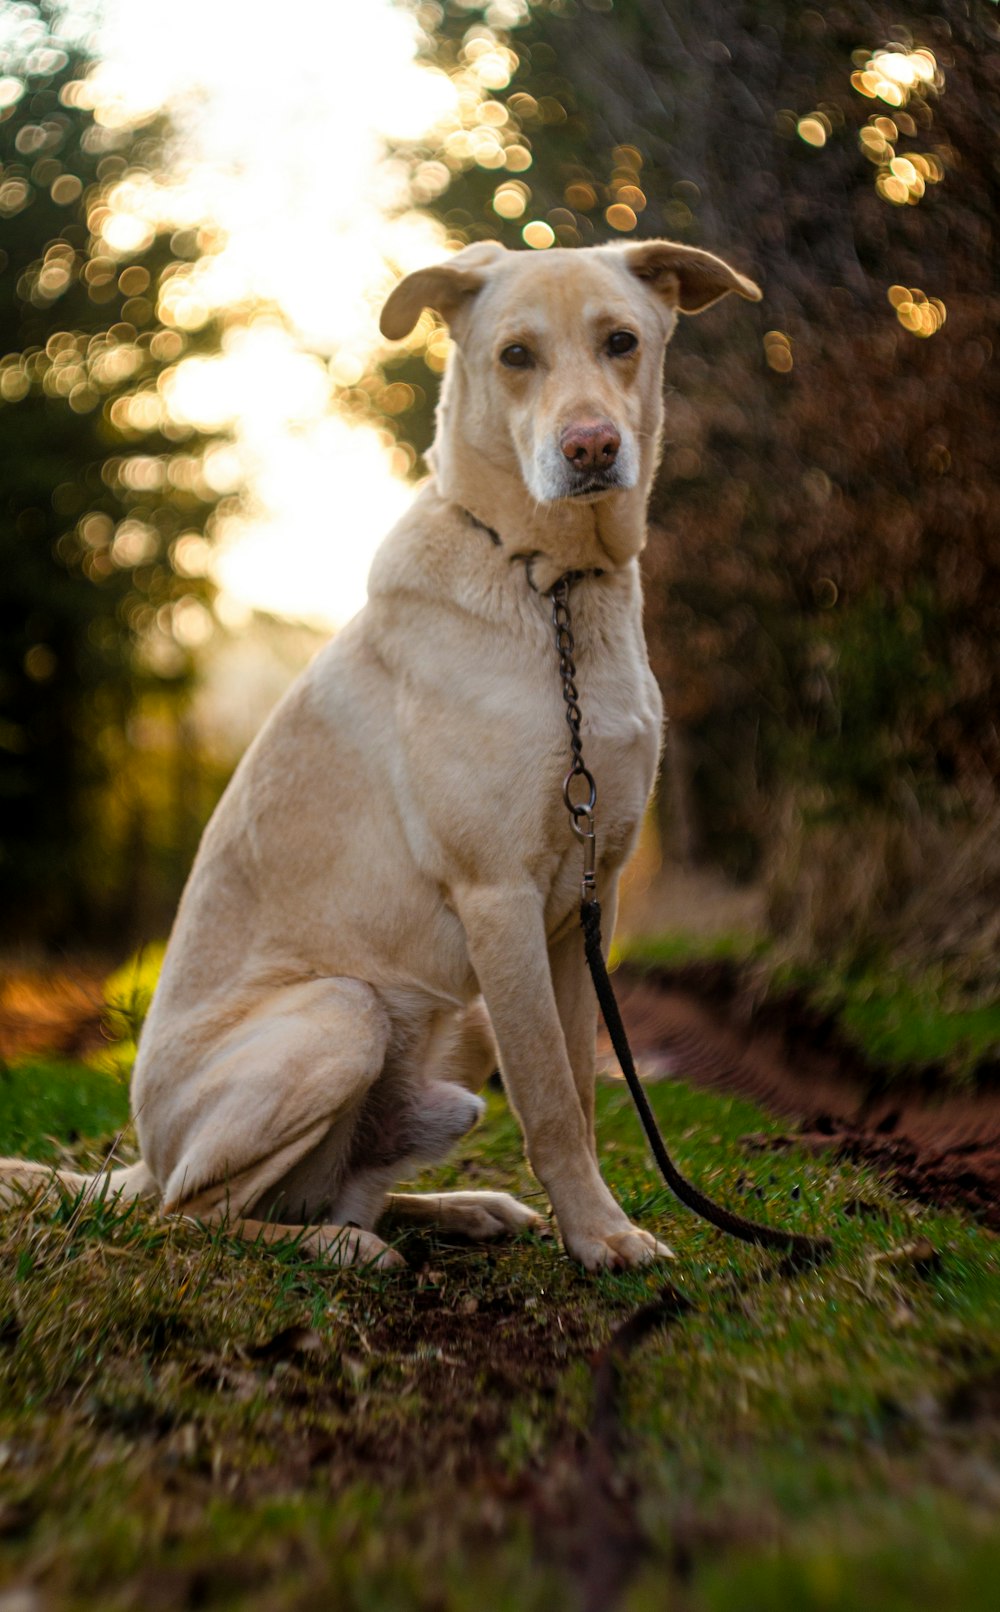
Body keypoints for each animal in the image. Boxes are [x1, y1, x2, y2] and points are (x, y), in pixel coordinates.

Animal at [1, 238, 758, 1270]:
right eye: (515, 356)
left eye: (621, 341)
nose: (592, 447)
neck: (556, 590)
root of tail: (141, 1162)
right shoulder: (499, 900)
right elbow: (552, 1102)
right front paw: (602, 1237)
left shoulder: (579, 914)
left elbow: (580, 1086)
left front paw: (587, 1225)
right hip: (343, 1012)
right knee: (200, 1216)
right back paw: (343, 1252)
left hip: (452, 1028)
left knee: (334, 1195)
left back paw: (461, 1209)